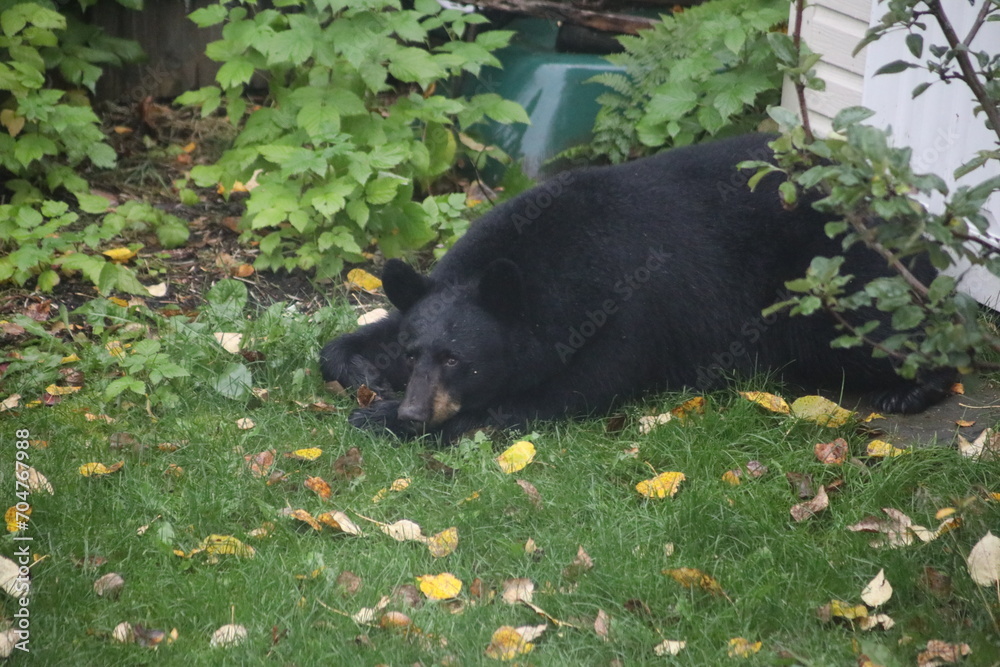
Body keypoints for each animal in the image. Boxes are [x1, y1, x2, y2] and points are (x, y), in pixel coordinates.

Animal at [320, 133, 955, 441]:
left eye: (458, 359)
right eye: (416, 354)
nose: (413, 414)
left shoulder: (630, 315)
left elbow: (560, 393)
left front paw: (379, 418)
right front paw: (362, 367)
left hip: (825, 284)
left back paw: (911, 389)